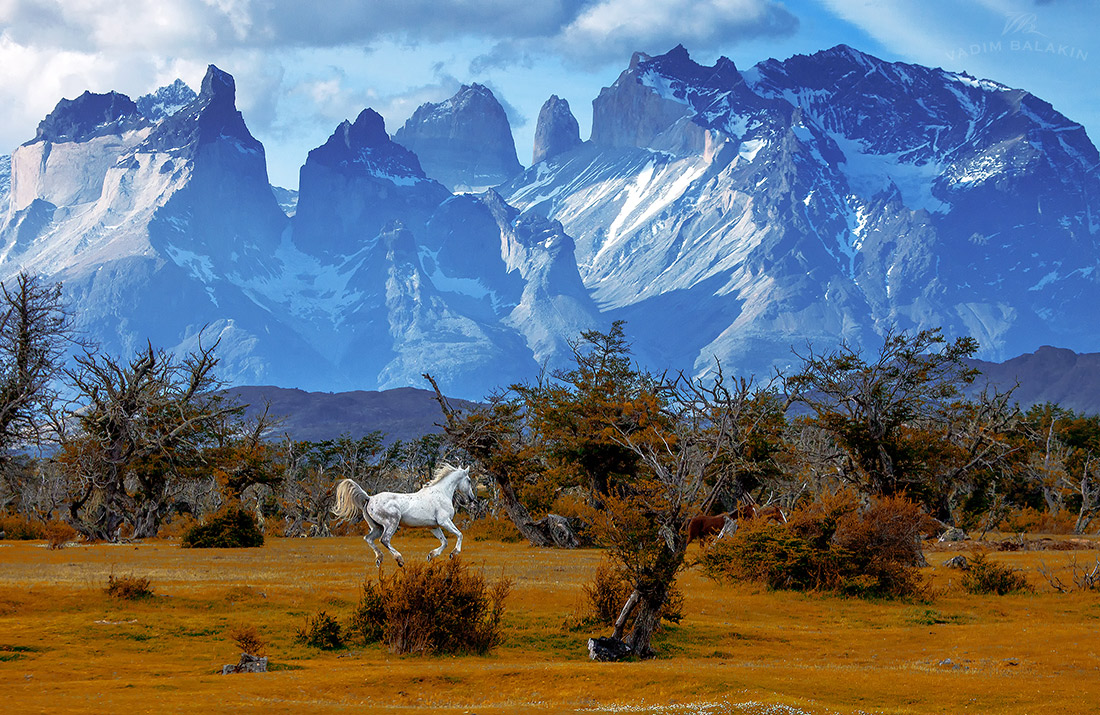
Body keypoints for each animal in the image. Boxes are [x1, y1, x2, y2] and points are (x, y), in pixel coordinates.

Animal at [330, 462, 477, 567]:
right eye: (469, 480)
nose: (471, 498)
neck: (441, 493)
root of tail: (369, 498)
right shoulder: (444, 521)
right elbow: (459, 535)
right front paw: (454, 553)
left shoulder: (433, 526)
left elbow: (444, 542)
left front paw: (431, 555)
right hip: (392, 523)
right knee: (384, 540)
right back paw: (399, 559)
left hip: (377, 527)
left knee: (368, 539)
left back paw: (379, 559)